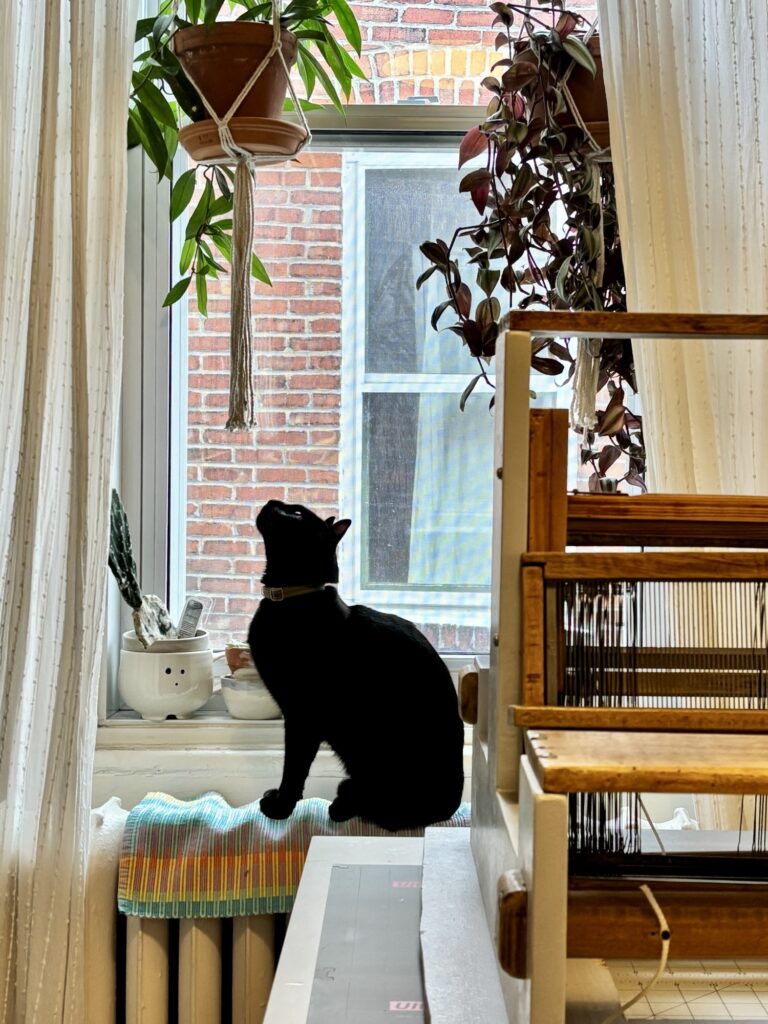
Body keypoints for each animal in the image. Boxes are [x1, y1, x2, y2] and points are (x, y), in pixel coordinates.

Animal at [247, 497, 462, 831]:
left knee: (387, 811)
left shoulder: (302, 716)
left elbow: (294, 767)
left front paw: (281, 806)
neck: (292, 598)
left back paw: (345, 804)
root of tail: (453, 807)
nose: (272, 501)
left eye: (296, 513)